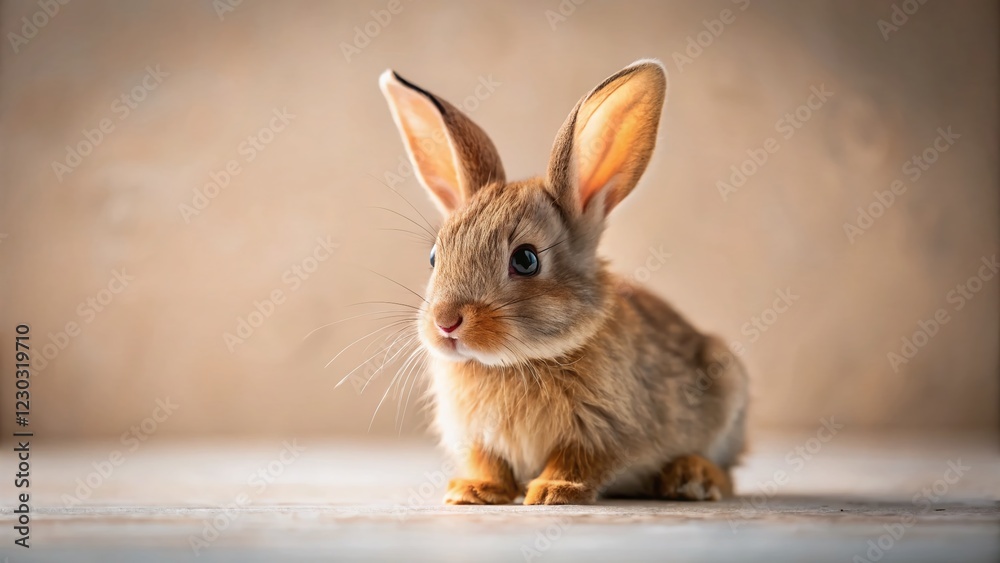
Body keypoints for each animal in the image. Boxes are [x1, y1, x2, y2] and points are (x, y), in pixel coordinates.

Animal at [378, 59, 748, 505]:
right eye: (434, 257)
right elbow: (489, 463)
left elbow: (577, 461)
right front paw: (473, 492)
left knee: (727, 475)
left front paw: (553, 492)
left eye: (525, 259)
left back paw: (692, 479)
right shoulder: (479, 438)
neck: (517, 362)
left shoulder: (602, 431)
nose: (445, 322)